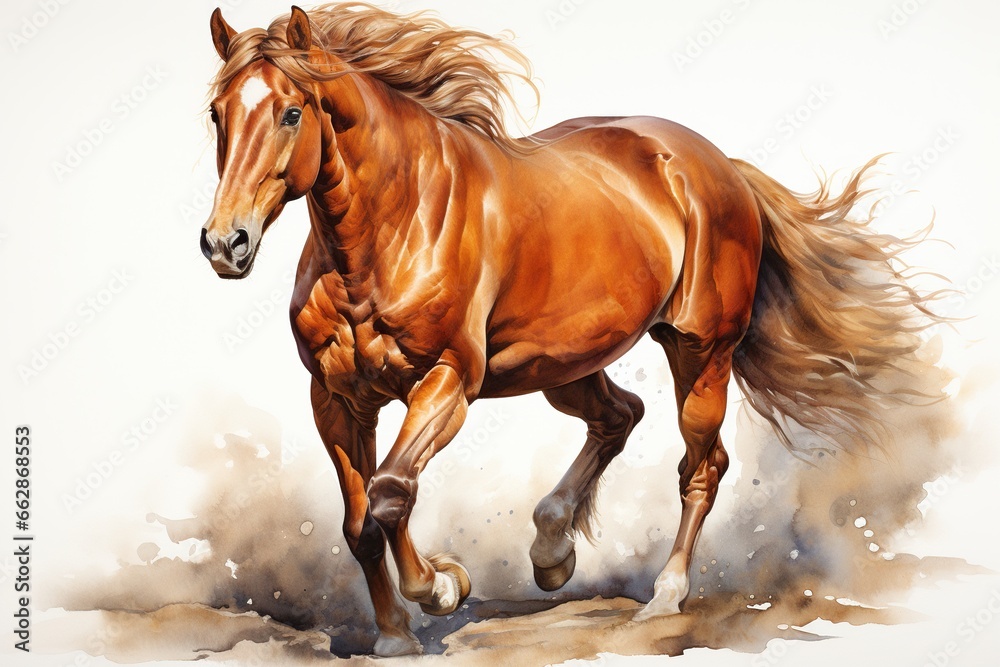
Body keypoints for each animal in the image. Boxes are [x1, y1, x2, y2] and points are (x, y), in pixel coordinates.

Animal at [200, 3, 940, 656]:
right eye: (217, 113)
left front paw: (443, 587)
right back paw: (552, 550)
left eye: (292, 112)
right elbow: (359, 524)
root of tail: (717, 164)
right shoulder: (336, 398)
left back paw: (664, 594)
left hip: (701, 350)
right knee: (620, 415)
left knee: (702, 464)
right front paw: (394, 634)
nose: (225, 243)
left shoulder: (447, 383)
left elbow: (390, 493)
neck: (394, 225)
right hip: (561, 365)